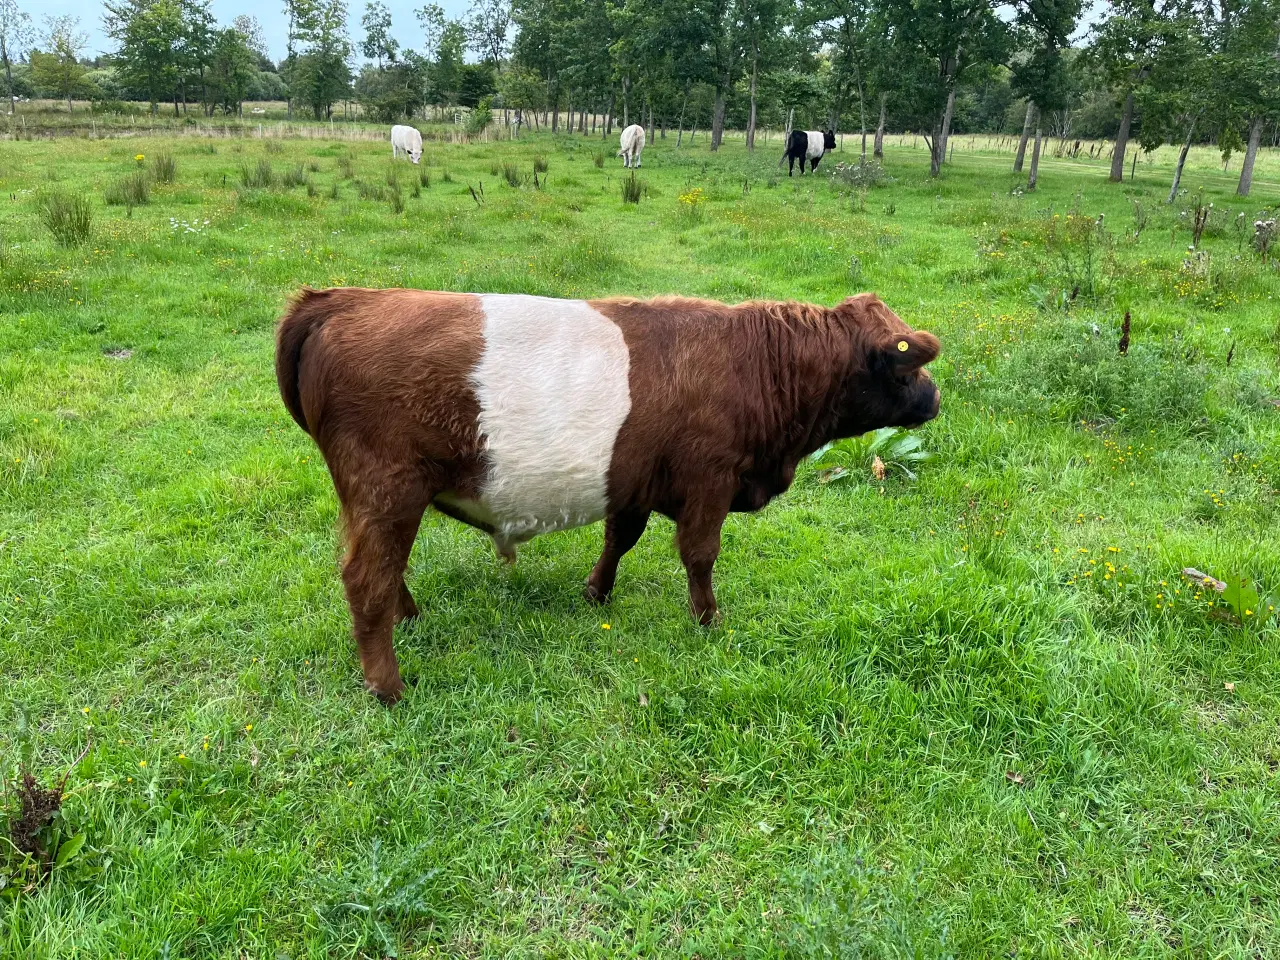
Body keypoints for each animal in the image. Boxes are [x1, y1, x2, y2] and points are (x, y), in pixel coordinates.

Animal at [277, 285, 942, 701]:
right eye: (906, 366)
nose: (935, 399)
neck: (754, 363)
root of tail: (340, 298)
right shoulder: (711, 479)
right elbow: (699, 555)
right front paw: (708, 620)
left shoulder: (634, 484)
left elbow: (620, 539)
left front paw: (596, 593)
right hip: (386, 490)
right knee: (367, 577)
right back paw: (388, 686)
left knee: (387, 570)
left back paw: (408, 617)